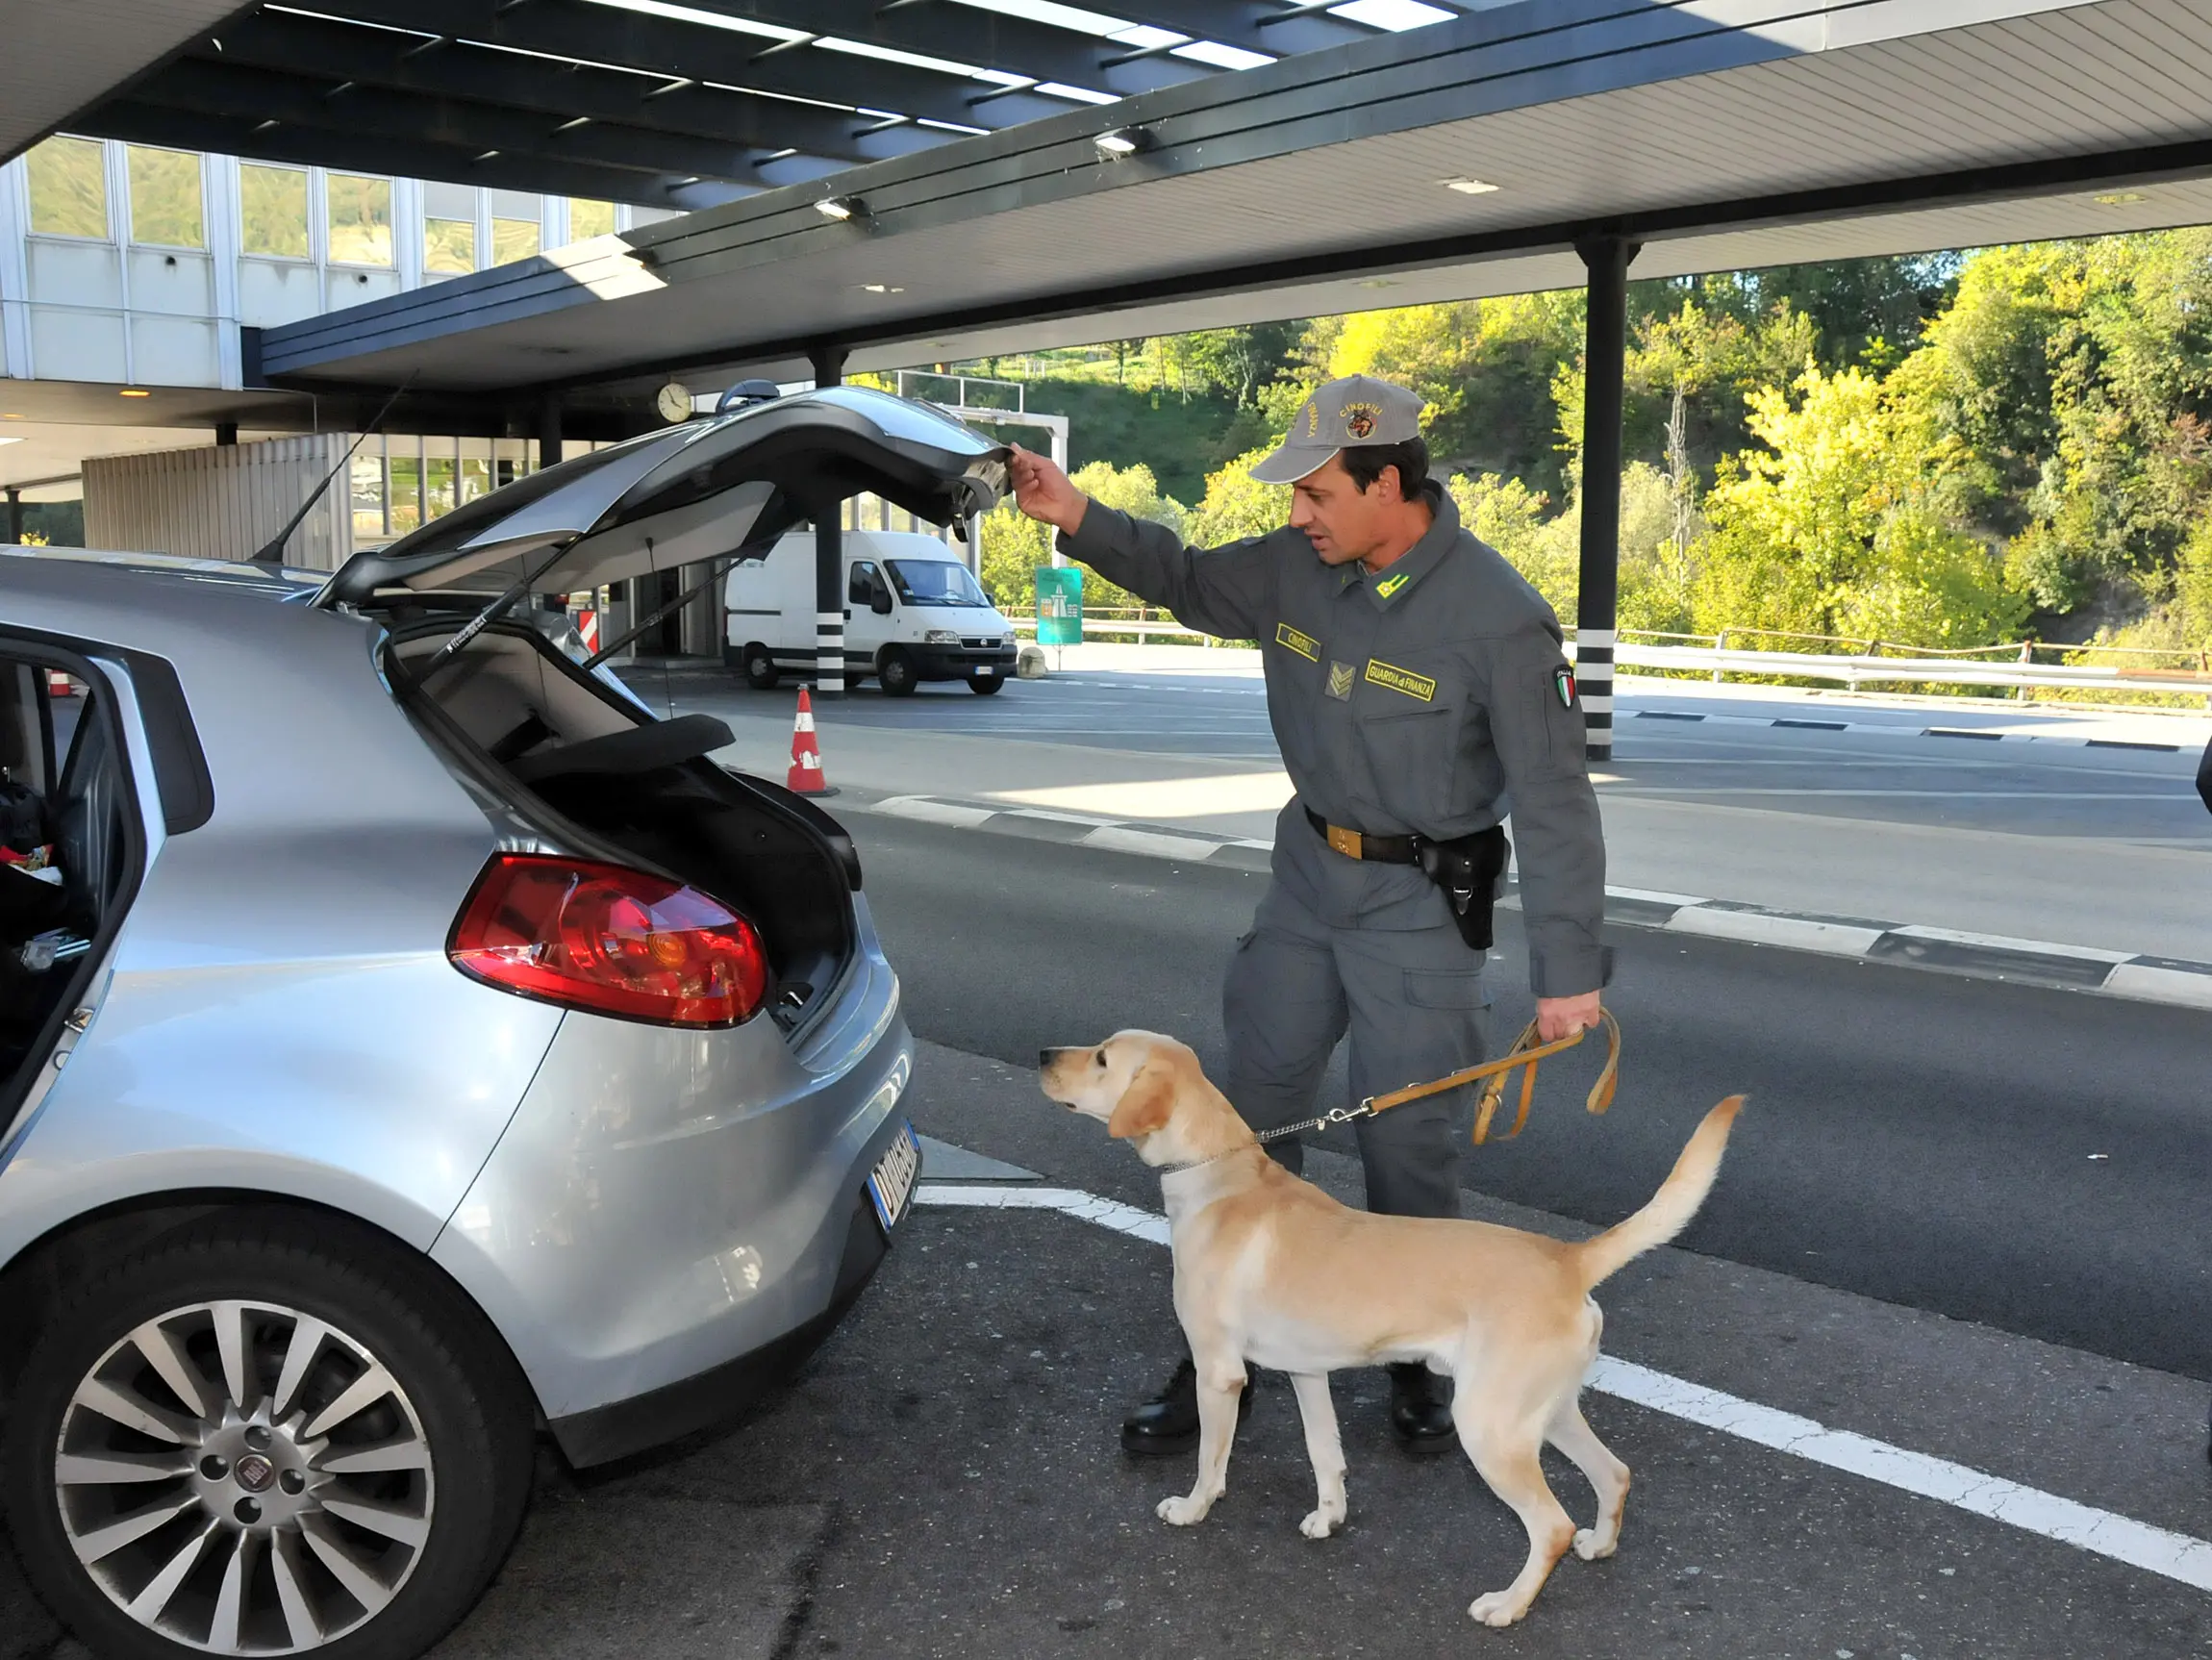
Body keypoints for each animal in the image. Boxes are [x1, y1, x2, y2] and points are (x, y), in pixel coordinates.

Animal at [1040, 1036, 1743, 1628]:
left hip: (1489, 1428)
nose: (1044, 1054)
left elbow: (1213, 1458)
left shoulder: (1219, 1371)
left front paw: (1192, 1509)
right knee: (1614, 1473)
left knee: (1551, 1526)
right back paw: (1600, 1543)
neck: (1219, 1174)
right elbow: (1325, 1454)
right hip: (1543, 1413)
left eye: (1102, 1058)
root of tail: (1568, 1258)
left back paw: (1508, 1605)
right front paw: (1329, 1518)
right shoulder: (1308, 1372)